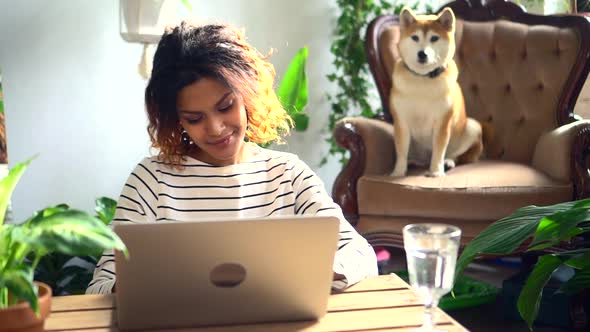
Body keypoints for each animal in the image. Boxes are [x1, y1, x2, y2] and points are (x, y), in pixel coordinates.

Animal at [390, 6, 484, 178]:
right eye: (415, 37)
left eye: (434, 38)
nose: (422, 53)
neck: (423, 78)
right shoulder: (401, 121)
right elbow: (401, 151)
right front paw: (398, 172)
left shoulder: (442, 122)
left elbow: (439, 151)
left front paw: (435, 172)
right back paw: (412, 162)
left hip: (472, 126)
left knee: (457, 155)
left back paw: (448, 162)